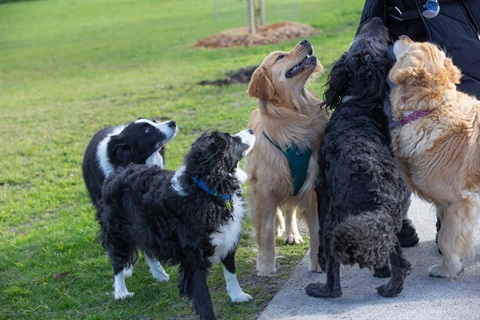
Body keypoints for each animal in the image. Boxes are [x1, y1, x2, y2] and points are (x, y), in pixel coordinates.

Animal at [98, 129, 255, 320]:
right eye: (231, 140)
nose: (251, 130)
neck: (205, 190)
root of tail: (121, 170)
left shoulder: (228, 237)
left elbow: (231, 271)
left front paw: (237, 295)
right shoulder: (193, 258)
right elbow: (203, 296)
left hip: (144, 229)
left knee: (148, 250)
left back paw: (159, 274)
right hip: (118, 233)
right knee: (117, 262)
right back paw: (121, 291)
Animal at [306, 16, 410, 298]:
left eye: (361, 40)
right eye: (376, 40)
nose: (376, 18)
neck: (359, 104)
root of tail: (379, 200)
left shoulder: (322, 187)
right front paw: (381, 270)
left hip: (337, 222)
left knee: (335, 284)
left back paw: (320, 289)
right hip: (387, 224)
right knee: (400, 261)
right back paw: (389, 286)